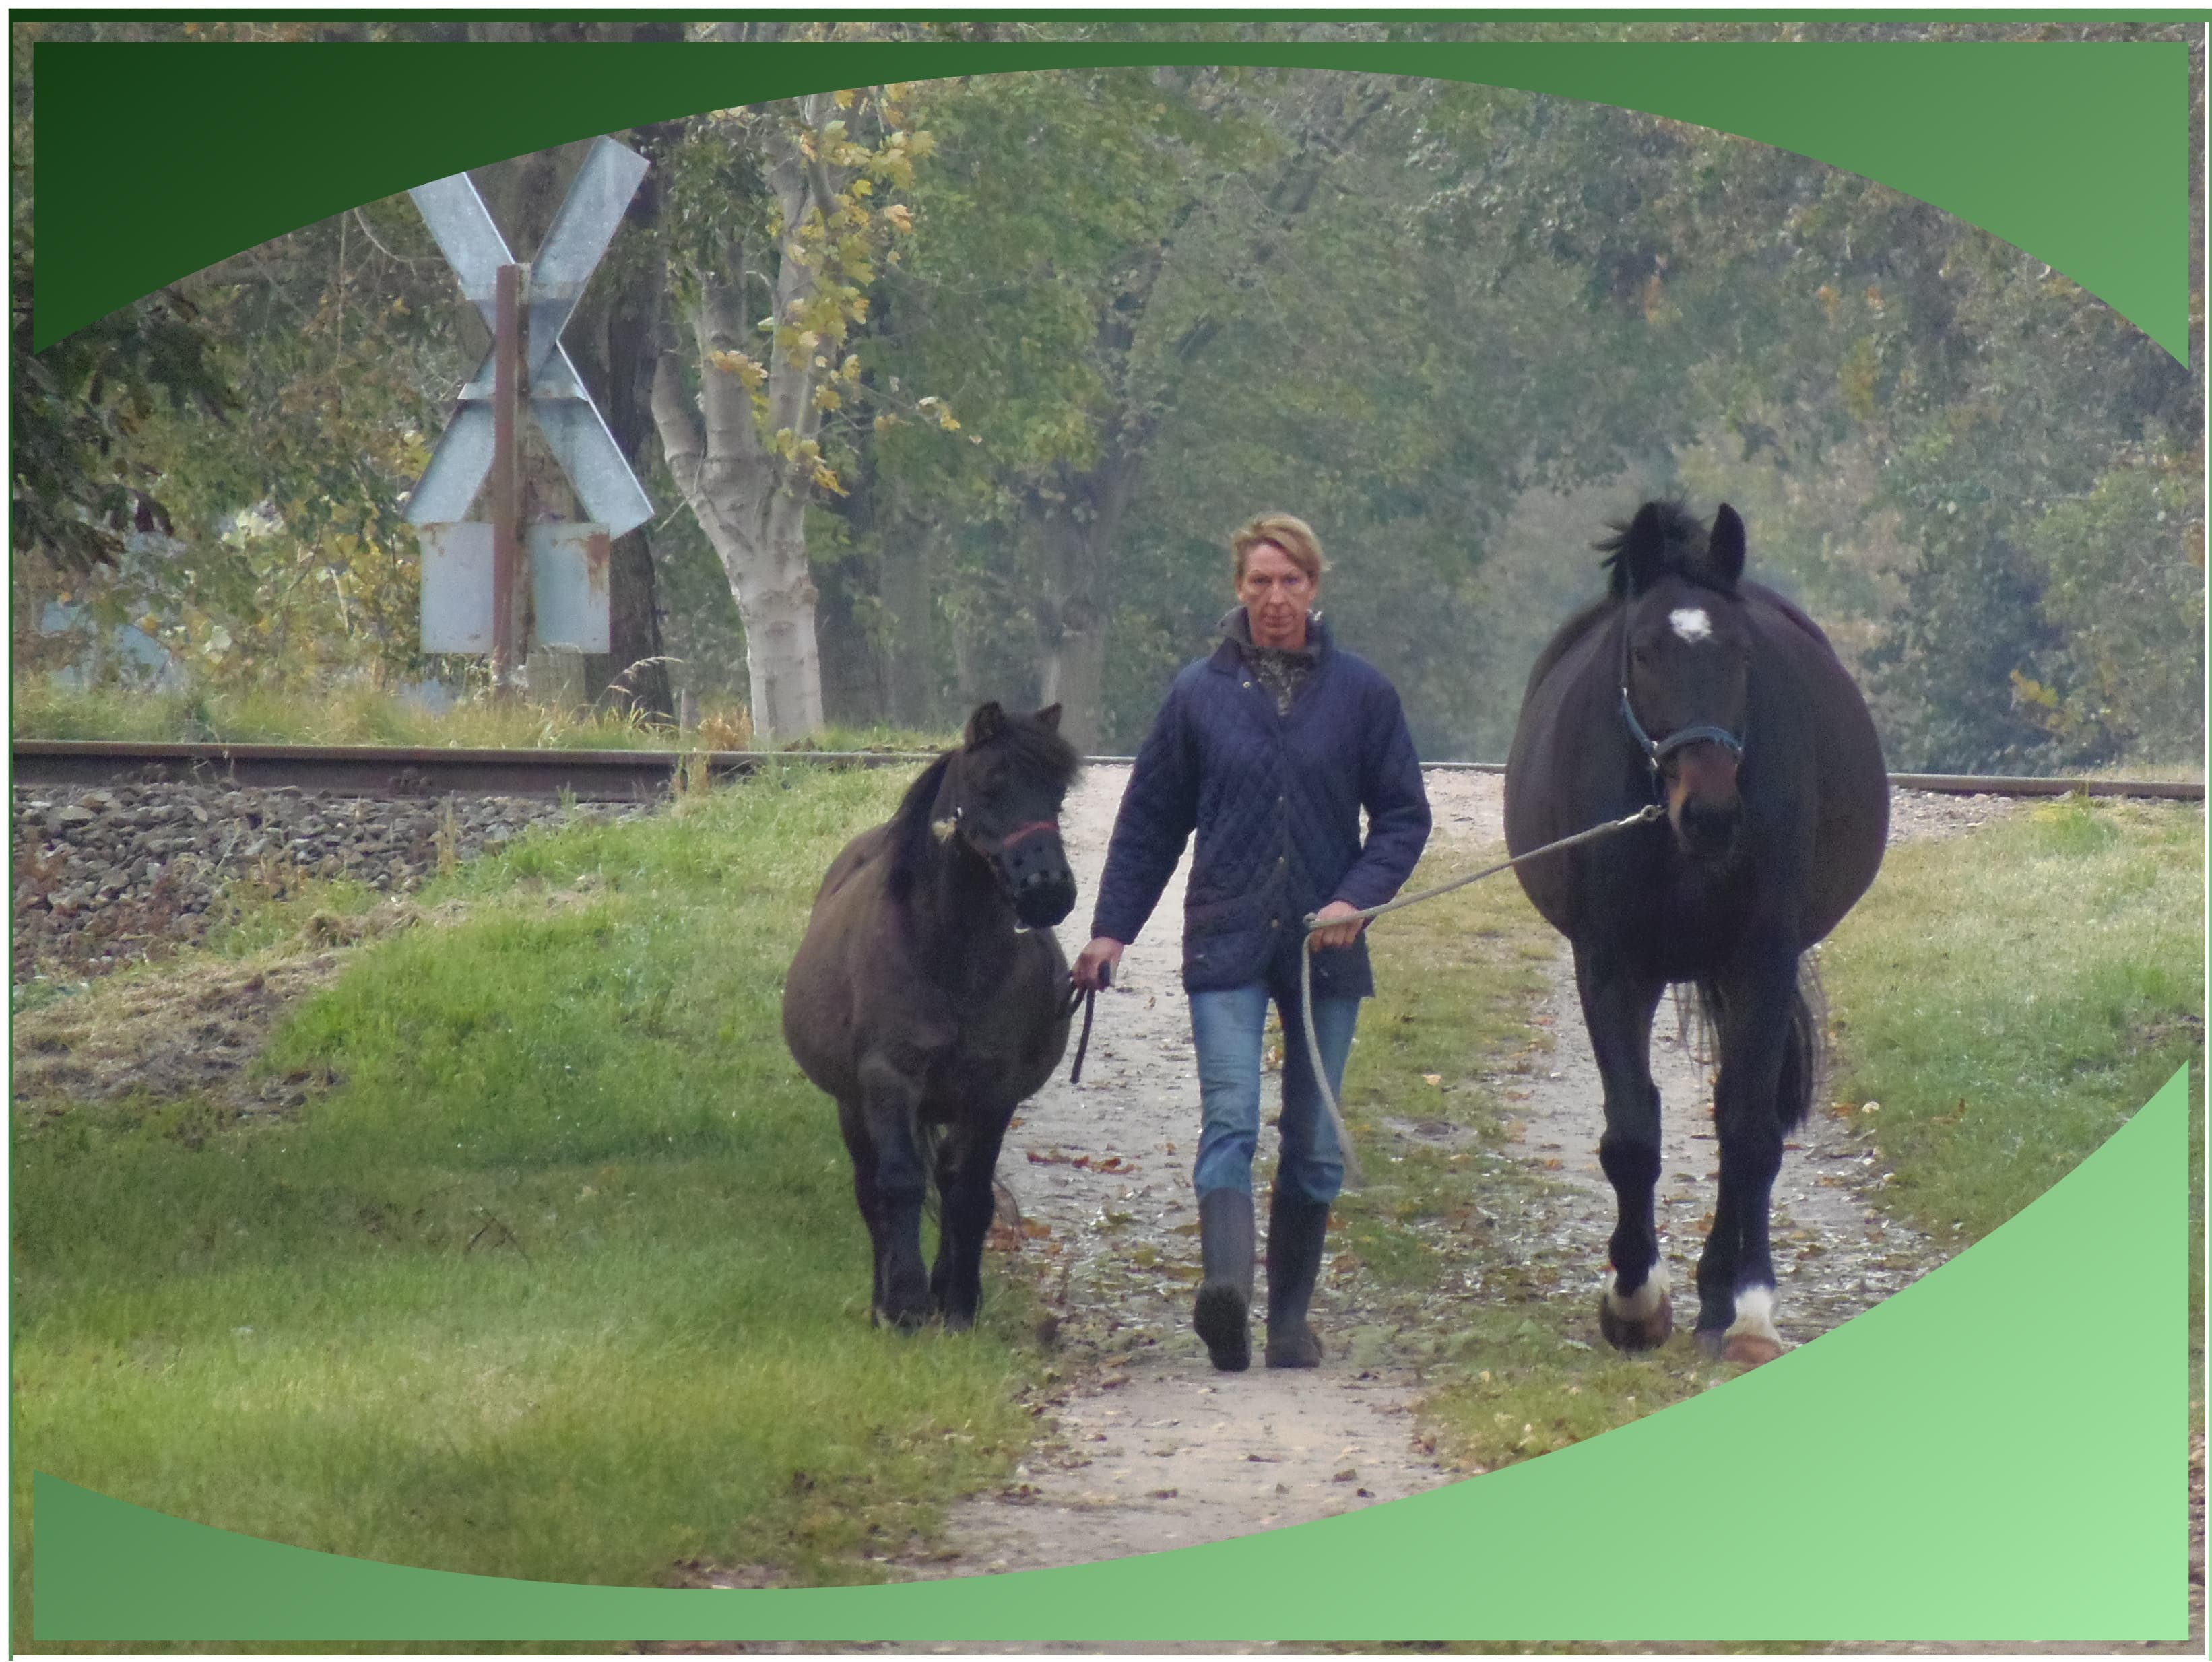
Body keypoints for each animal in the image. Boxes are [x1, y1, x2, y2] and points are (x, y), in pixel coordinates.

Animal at [783, 707, 1084, 1335]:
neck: (950, 953)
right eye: (990, 783)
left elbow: (969, 1192)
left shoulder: (993, 1093)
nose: (1047, 890)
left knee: (947, 1179)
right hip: (853, 1107)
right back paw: (882, 1302)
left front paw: (960, 1304)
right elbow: (898, 1185)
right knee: (870, 1190)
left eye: (1059, 793)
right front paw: (905, 1305)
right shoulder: (888, 1080)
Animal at [1504, 504, 1884, 1361]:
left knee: (1734, 1114)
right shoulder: (1610, 967)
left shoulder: (1760, 960)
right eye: (1643, 650)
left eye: (1740, 652)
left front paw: (1748, 1307)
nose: (1709, 813)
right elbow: (1630, 1132)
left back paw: (1718, 1293)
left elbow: (1747, 1131)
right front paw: (1633, 1298)